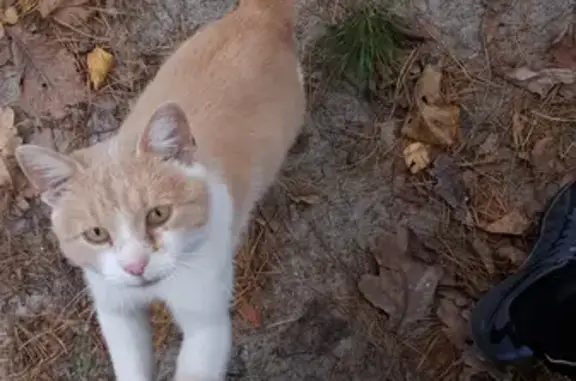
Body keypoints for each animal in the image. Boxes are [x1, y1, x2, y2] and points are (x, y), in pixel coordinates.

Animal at [13, 0, 306, 380]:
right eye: (96, 233)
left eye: (158, 214)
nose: (136, 266)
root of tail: (255, 15)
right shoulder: (114, 307)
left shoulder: (208, 323)